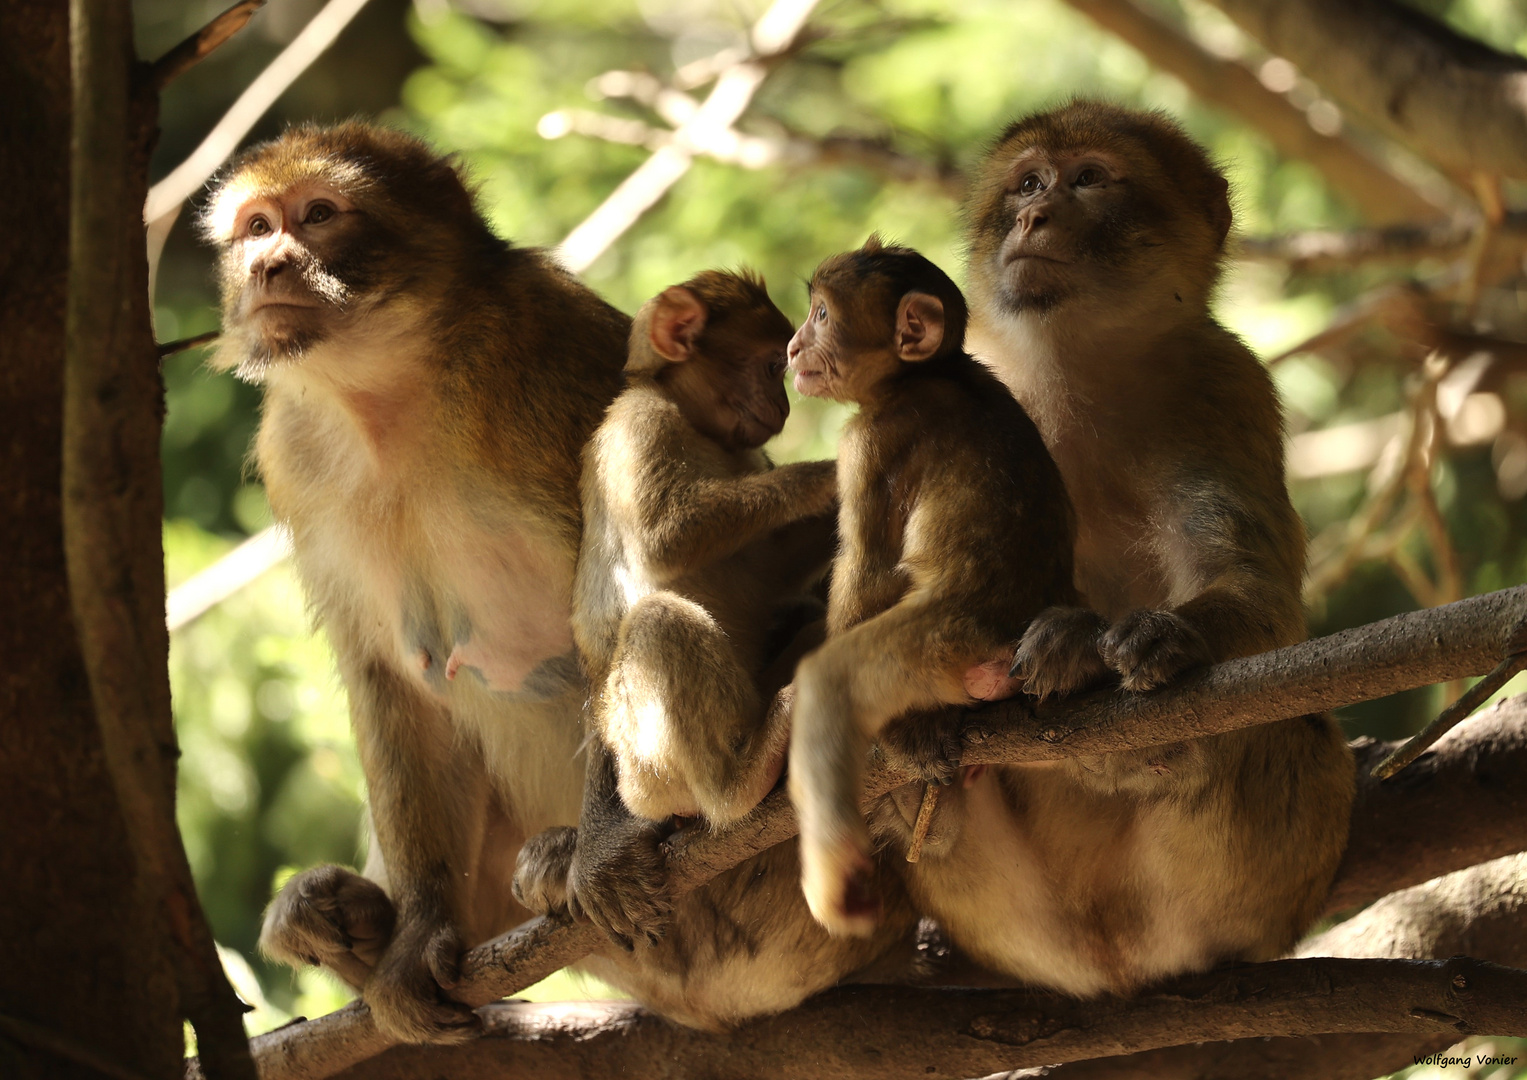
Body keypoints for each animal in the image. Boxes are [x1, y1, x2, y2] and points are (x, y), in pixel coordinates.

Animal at [513, 271, 916, 1032]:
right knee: (659, 625)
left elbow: (771, 576)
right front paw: (825, 475)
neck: (696, 424)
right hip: (645, 763)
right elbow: (668, 535)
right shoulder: (640, 425)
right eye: (766, 364)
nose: (782, 402)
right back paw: (741, 777)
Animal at [781, 236, 1081, 934]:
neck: (920, 377)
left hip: (936, 643)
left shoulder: (870, 445)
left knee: (833, 682)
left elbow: (869, 569)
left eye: (822, 316)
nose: (793, 346)